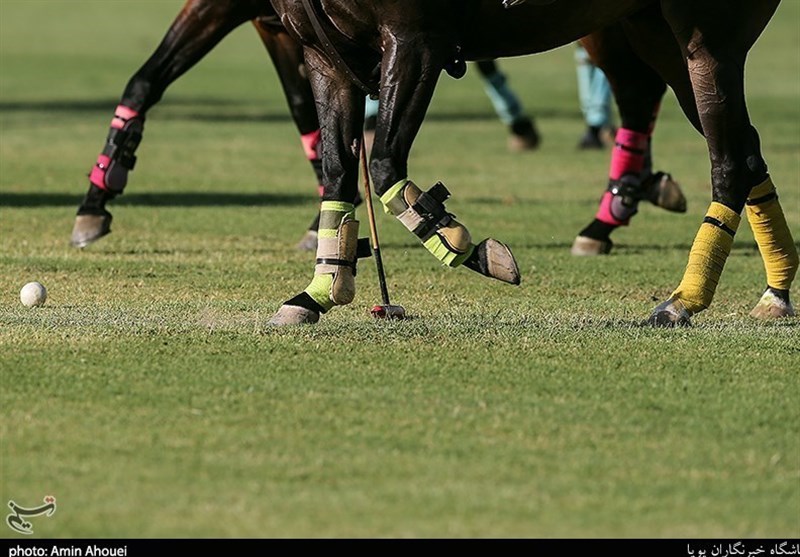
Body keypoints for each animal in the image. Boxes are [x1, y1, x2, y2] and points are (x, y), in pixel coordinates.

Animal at [268, 0, 792, 326]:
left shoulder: (415, 40)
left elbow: (382, 166)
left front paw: (466, 247)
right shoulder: (321, 55)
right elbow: (338, 174)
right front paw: (318, 291)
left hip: (706, 39)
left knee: (728, 161)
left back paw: (685, 299)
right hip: (656, 33)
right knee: (746, 151)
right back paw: (777, 291)